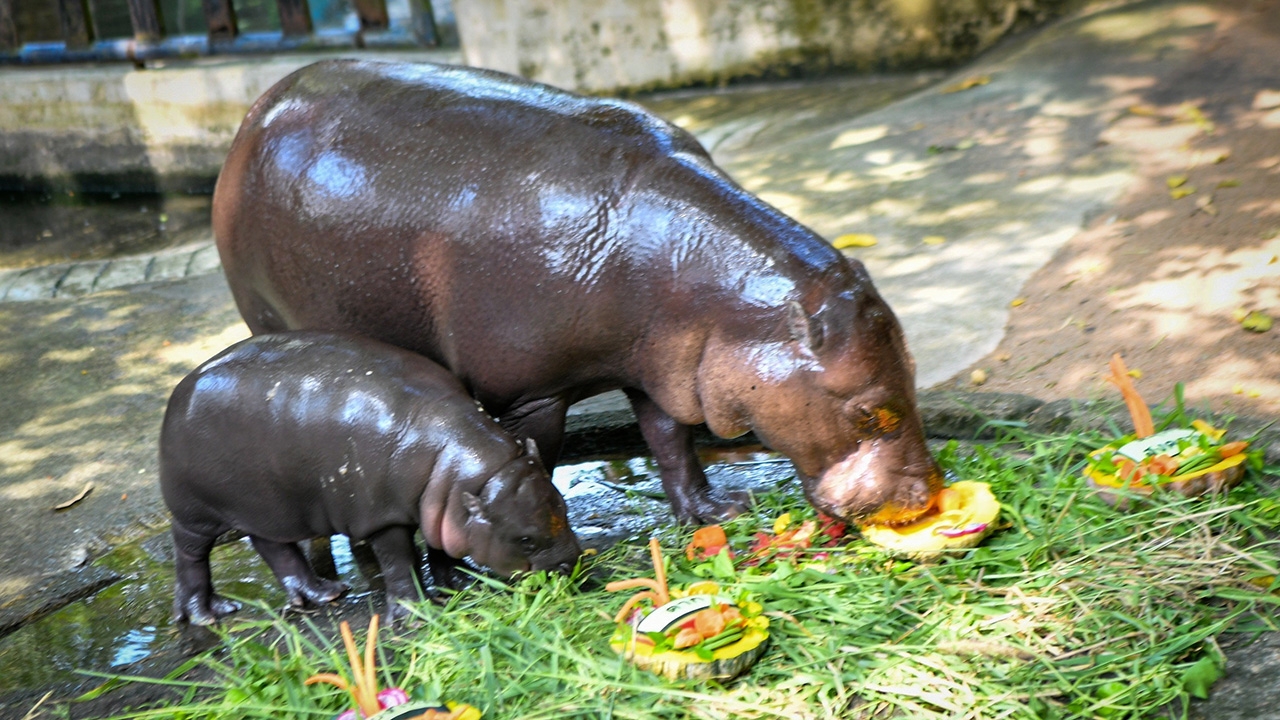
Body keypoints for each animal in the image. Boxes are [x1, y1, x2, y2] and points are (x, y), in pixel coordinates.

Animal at [160, 330, 581, 622]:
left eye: (562, 505)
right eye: (525, 540)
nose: (571, 565)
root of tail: (183, 386)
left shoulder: (444, 507)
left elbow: (443, 546)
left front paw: (461, 585)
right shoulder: (382, 516)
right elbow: (399, 561)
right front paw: (415, 615)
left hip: (266, 505)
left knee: (274, 546)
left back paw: (324, 594)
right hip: (195, 511)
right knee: (190, 554)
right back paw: (207, 614)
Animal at [215, 58, 947, 525]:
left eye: (914, 374)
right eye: (870, 413)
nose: (930, 496)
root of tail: (255, 110)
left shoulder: (660, 365)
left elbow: (670, 441)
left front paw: (714, 511)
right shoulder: (528, 395)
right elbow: (540, 456)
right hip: (269, 318)